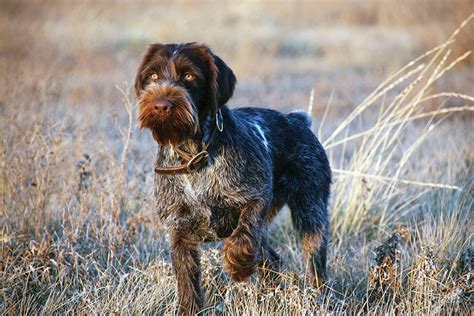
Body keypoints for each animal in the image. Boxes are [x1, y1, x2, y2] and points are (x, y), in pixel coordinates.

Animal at [135, 42, 332, 316]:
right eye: (152, 75)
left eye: (189, 76)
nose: (161, 105)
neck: (195, 156)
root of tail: (296, 119)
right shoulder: (179, 232)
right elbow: (187, 287)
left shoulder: (256, 197)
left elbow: (243, 234)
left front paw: (237, 265)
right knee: (272, 259)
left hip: (311, 213)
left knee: (314, 265)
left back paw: (318, 298)